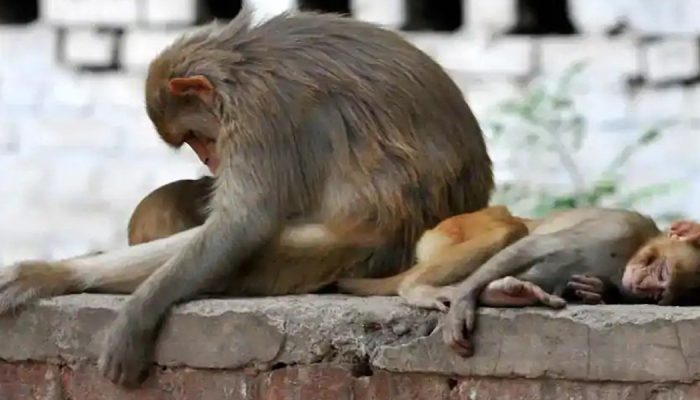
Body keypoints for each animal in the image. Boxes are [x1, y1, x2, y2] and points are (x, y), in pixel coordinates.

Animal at [0, 9, 494, 386]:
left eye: (197, 136)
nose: (207, 157)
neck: (241, 63)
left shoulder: (261, 112)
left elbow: (242, 225)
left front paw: (136, 316)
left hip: (358, 249)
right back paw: (52, 274)